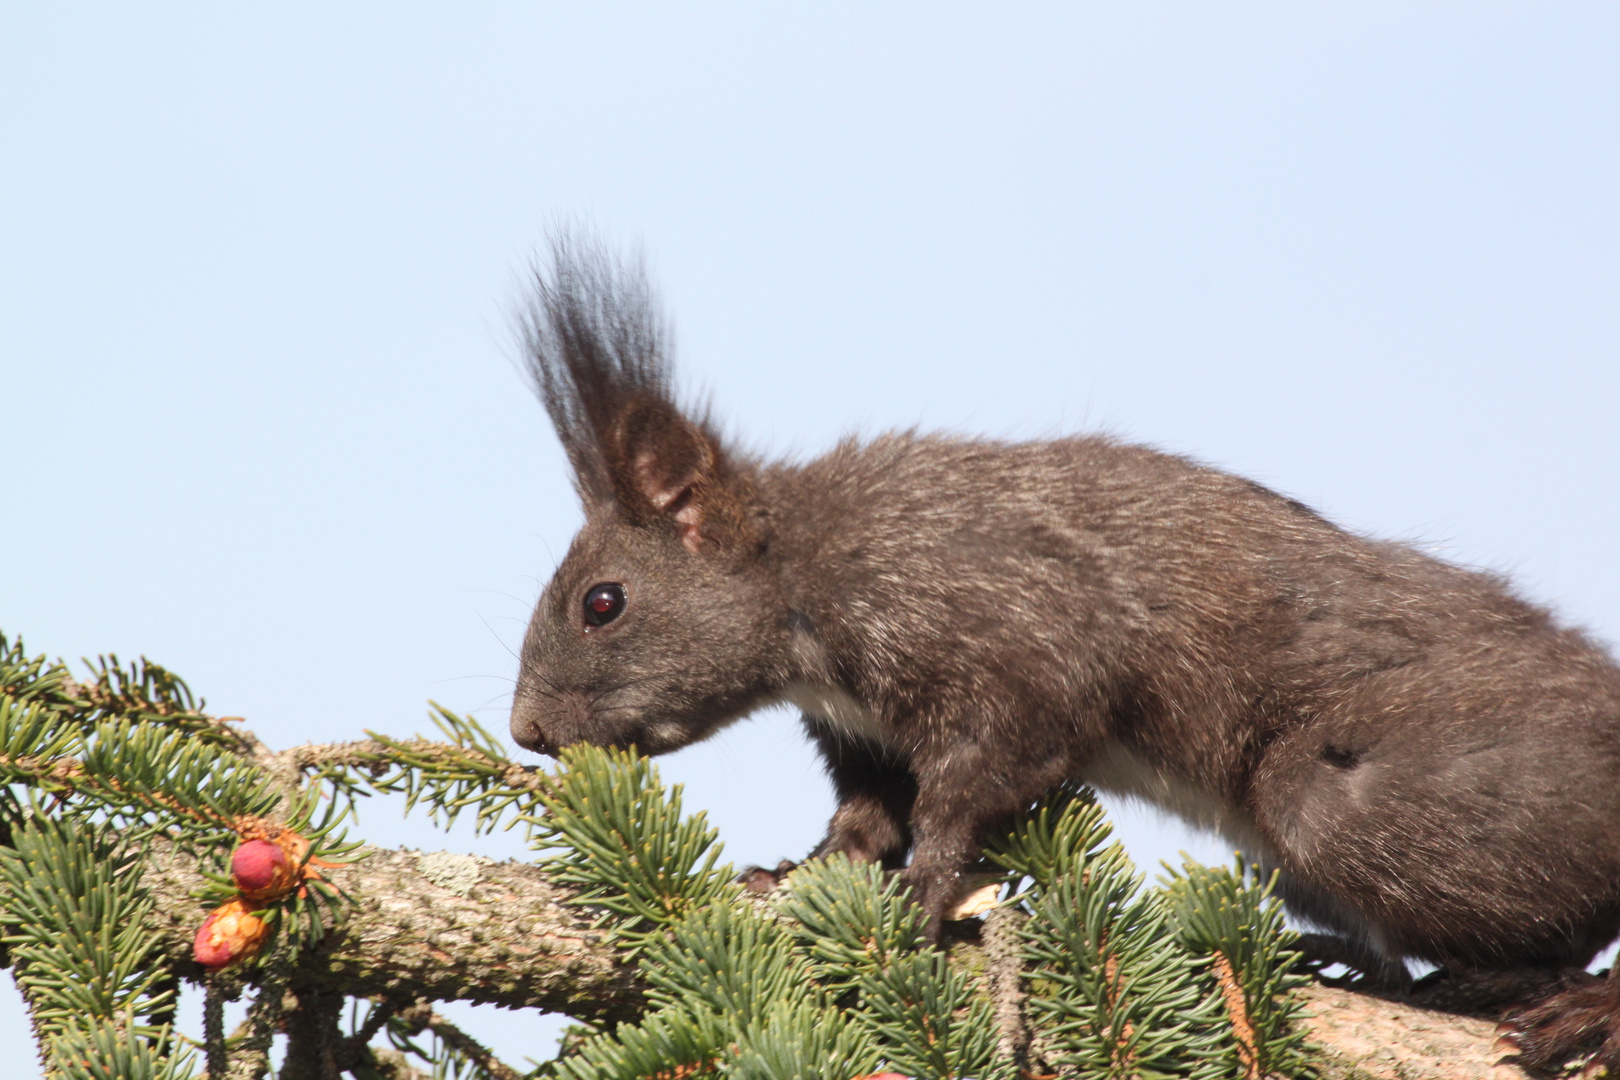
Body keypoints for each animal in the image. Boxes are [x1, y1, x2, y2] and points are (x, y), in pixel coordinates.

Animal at [505, 236, 1620, 1075]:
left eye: (601, 603)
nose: (526, 731)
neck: (810, 578)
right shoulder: (863, 734)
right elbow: (867, 819)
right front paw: (795, 873)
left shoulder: (1001, 635)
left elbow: (976, 783)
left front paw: (925, 892)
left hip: (1365, 798)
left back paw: (1560, 1002)